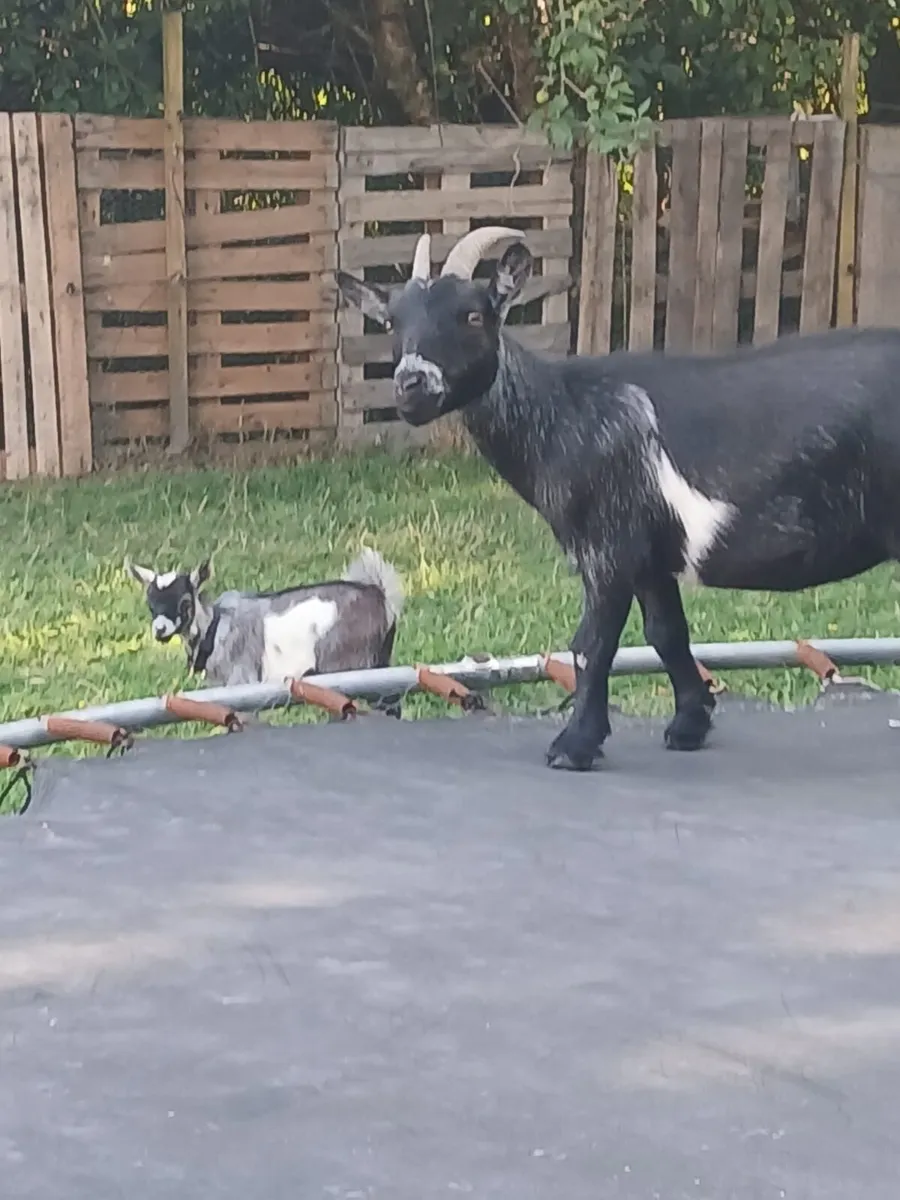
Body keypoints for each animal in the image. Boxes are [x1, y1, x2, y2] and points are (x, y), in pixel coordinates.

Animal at [125, 548, 405, 690]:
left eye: (185, 602)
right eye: (150, 604)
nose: (160, 629)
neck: (214, 628)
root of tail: (380, 596)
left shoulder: (241, 680)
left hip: (350, 664)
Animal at [336, 226, 900, 772]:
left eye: (474, 314)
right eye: (392, 323)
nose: (412, 385)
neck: (562, 413)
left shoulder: (608, 545)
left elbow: (593, 643)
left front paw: (573, 746)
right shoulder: (650, 555)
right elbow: (666, 632)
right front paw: (689, 725)